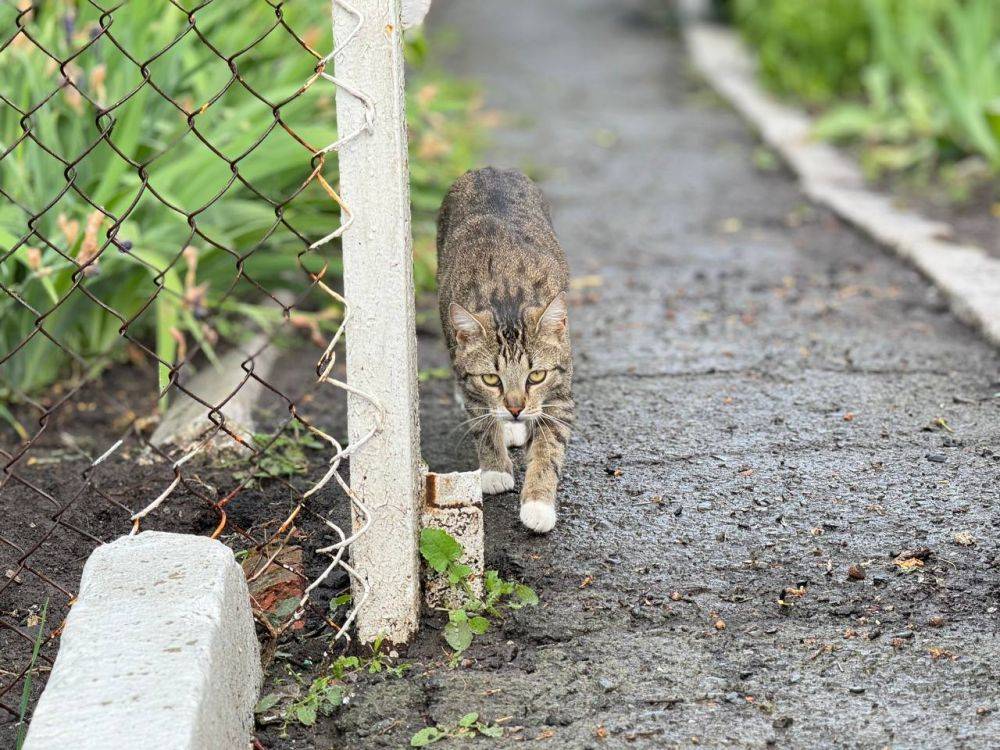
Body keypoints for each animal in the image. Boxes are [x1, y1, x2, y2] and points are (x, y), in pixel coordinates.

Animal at [436, 170, 576, 536]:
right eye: (491, 379)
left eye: (536, 375)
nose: (515, 408)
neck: (507, 298)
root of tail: (491, 169)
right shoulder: (471, 382)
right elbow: (481, 422)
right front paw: (495, 469)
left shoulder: (560, 393)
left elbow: (549, 448)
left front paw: (538, 504)